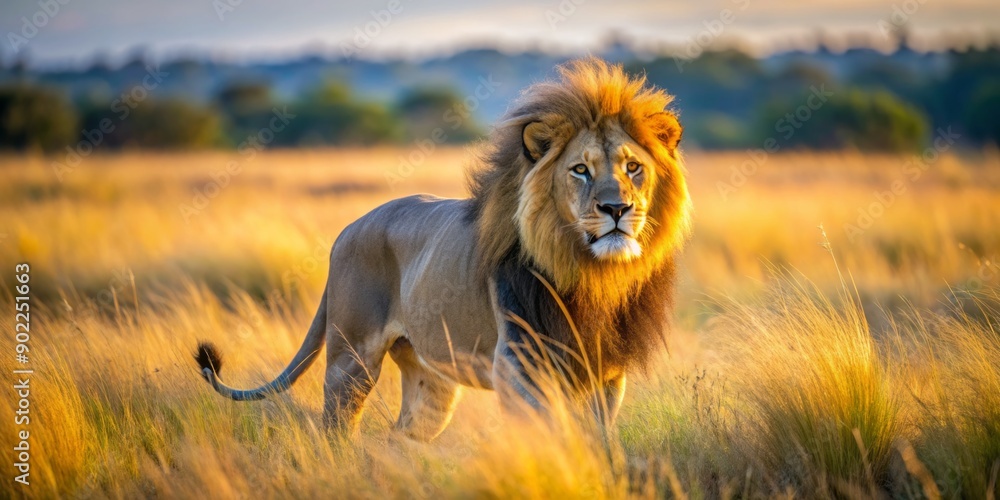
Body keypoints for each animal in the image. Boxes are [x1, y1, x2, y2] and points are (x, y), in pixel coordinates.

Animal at [195, 58, 691, 440]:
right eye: (580, 170)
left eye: (633, 167)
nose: (616, 208)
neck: (592, 274)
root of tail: (347, 230)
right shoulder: (518, 370)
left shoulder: (606, 376)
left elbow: (597, 443)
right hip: (350, 360)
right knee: (335, 430)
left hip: (429, 380)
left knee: (398, 438)